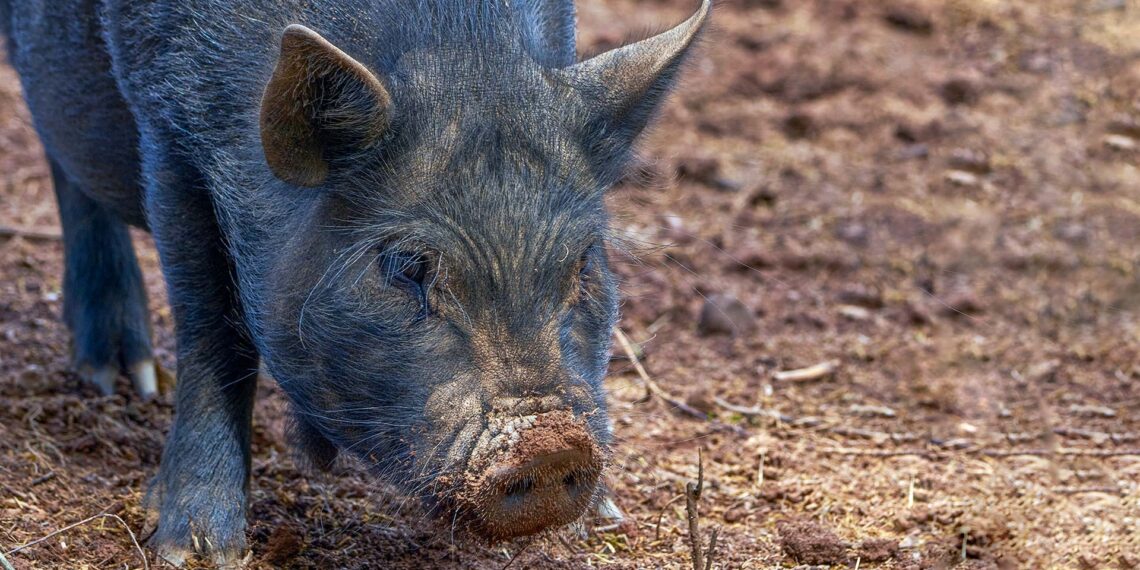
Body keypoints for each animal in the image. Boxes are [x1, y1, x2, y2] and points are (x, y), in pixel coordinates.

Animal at [1, 0, 709, 565]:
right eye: (405, 267)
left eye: (583, 262)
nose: (551, 448)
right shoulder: (168, 131)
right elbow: (212, 333)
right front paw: (195, 550)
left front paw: (605, 519)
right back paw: (121, 379)